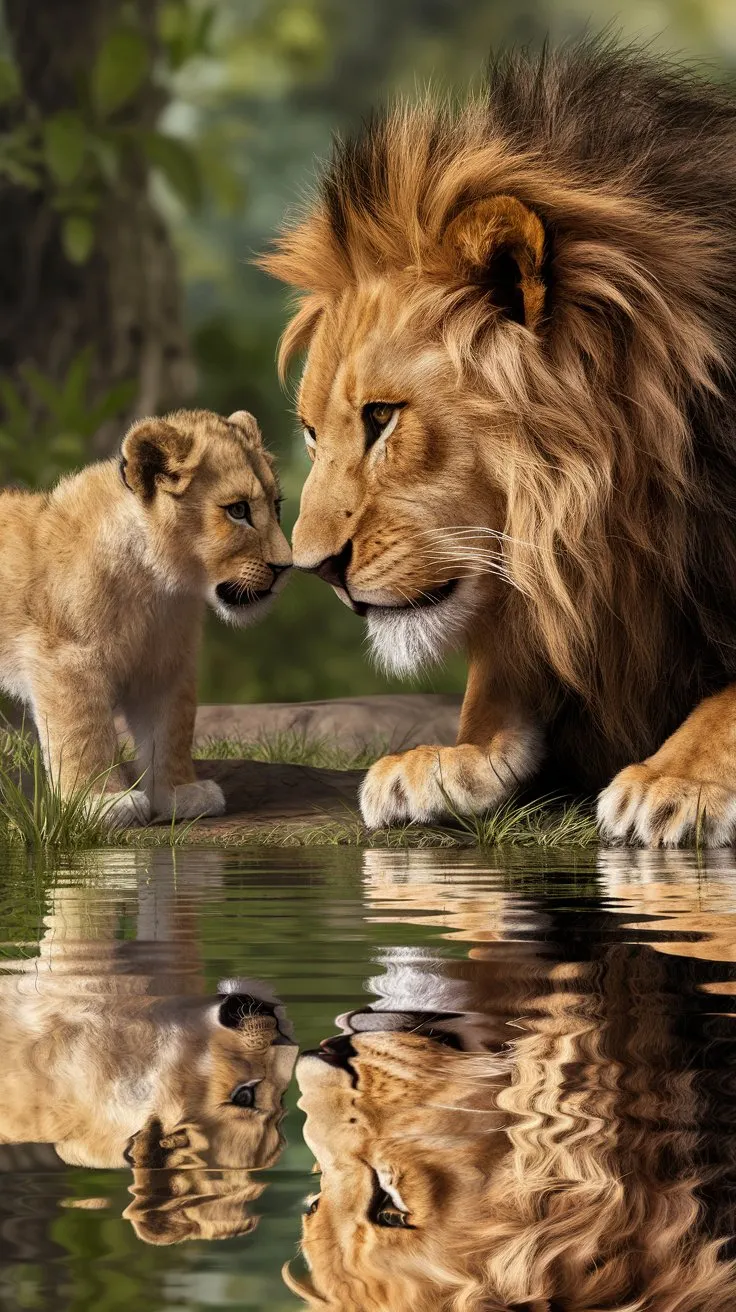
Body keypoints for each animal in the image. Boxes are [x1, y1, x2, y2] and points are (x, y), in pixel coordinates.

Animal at [0, 407, 291, 826]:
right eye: (238, 510)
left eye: (277, 506)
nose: (286, 567)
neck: (156, 588)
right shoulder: (66, 660)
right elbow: (86, 731)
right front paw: (103, 803)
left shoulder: (165, 665)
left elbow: (171, 731)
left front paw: (179, 794)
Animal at [262, 39, 736, 847]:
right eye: (312, 433)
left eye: (383, 416)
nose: (315, 569)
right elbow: (503, 675)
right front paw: (450, 757)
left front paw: (678, 779)